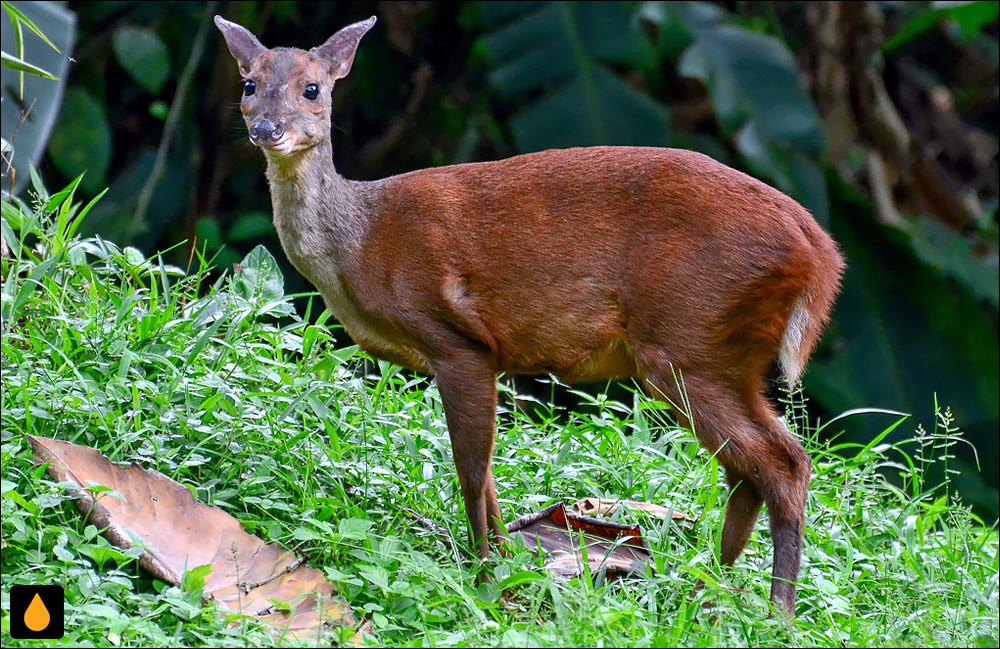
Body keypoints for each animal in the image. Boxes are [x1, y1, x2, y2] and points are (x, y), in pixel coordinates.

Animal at [217, 12, 844, 616]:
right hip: (723, 353)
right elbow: (489, 475)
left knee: (783, 462)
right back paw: (706, 585)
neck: (358, 244)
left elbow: (472, 470)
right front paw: (505, 565)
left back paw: (775, 611)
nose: (266, 130)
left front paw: (485, 578)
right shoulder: (482, 355)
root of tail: (821, 255)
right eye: (249, 84)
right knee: (750, 467)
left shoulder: (456, 341)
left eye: (312, 88)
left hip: (689, 338)